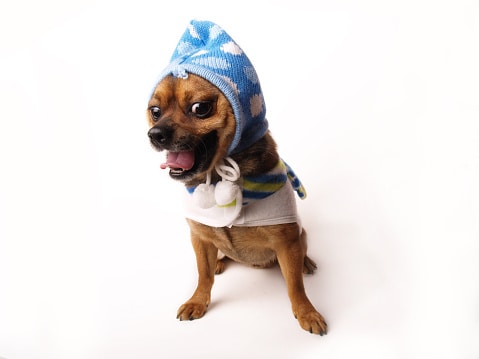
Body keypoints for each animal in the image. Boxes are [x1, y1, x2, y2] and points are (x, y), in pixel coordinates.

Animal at [144, 19, 328, 336]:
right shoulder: (198, 237)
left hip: (301, 235)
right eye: (155, 112)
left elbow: (295, 287)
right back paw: (220, 260)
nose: (155, 134)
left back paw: (306, 263)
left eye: (200, 108)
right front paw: (198, 300)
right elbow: (203, 275)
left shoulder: (287, 242)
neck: (218, 175)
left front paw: (307, 312)